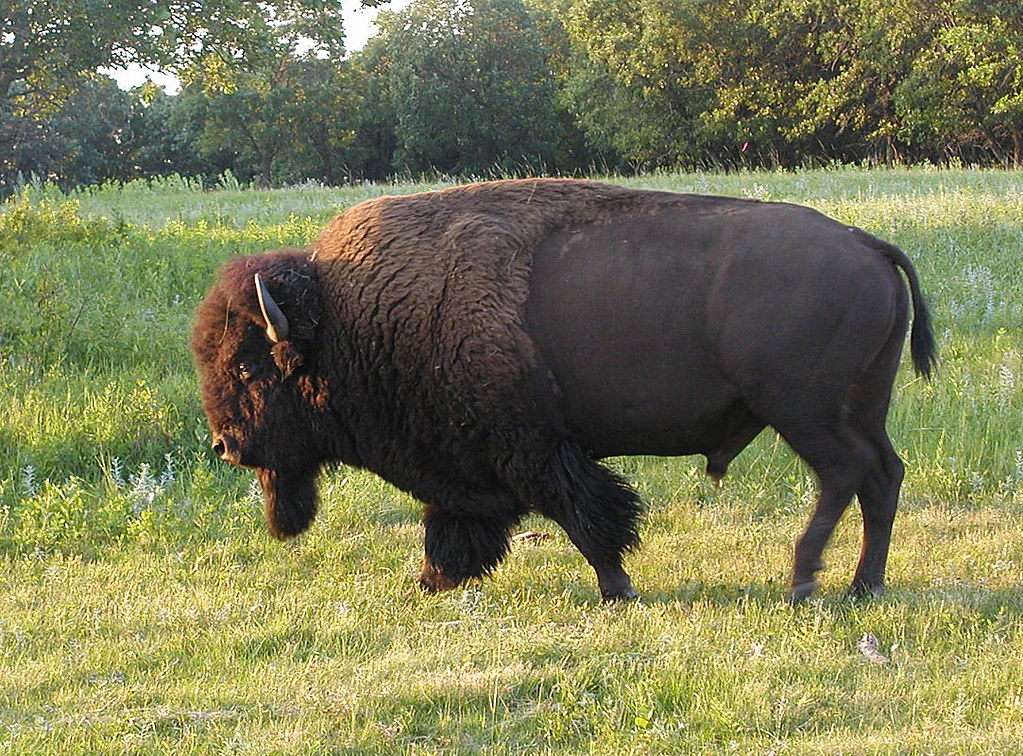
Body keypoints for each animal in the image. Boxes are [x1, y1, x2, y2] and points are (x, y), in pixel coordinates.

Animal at [191, 179, 935, 602]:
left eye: (248, 368)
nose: (226, 445)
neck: (351, 317)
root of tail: (866, 243)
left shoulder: (533, 449)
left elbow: (585, 515)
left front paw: (617, 588)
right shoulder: (466, 467)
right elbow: (457, 522)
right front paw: (433, 580)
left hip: (803, 412)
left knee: (845, 476)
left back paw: (804, 580)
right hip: (861, 408)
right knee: (883, 477)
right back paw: (863, 586)